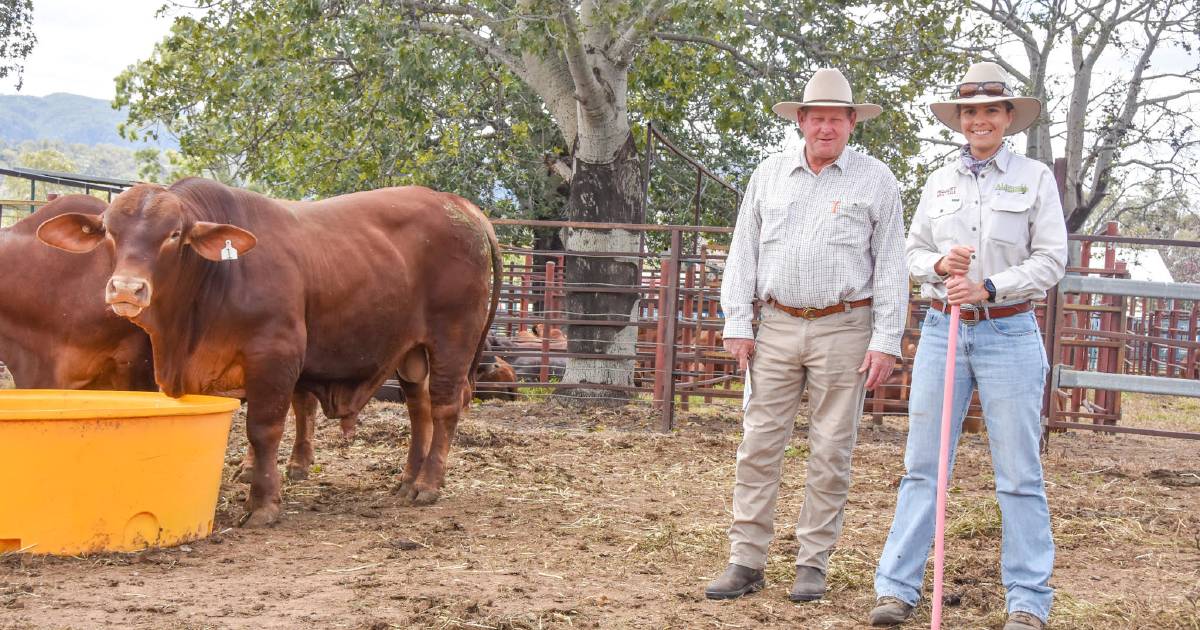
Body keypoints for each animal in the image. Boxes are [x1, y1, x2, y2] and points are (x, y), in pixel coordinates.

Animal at [36, 177, 496, 525]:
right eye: (110, 232)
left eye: (173, 234)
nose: (127, 289)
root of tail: (458, 205)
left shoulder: (275, 356)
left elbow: (263, 430)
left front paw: (263, 503)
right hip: (411, 352)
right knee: (419, 410)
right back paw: (406, 479)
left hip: (452, 340)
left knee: (443, 408)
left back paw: (427, 484)